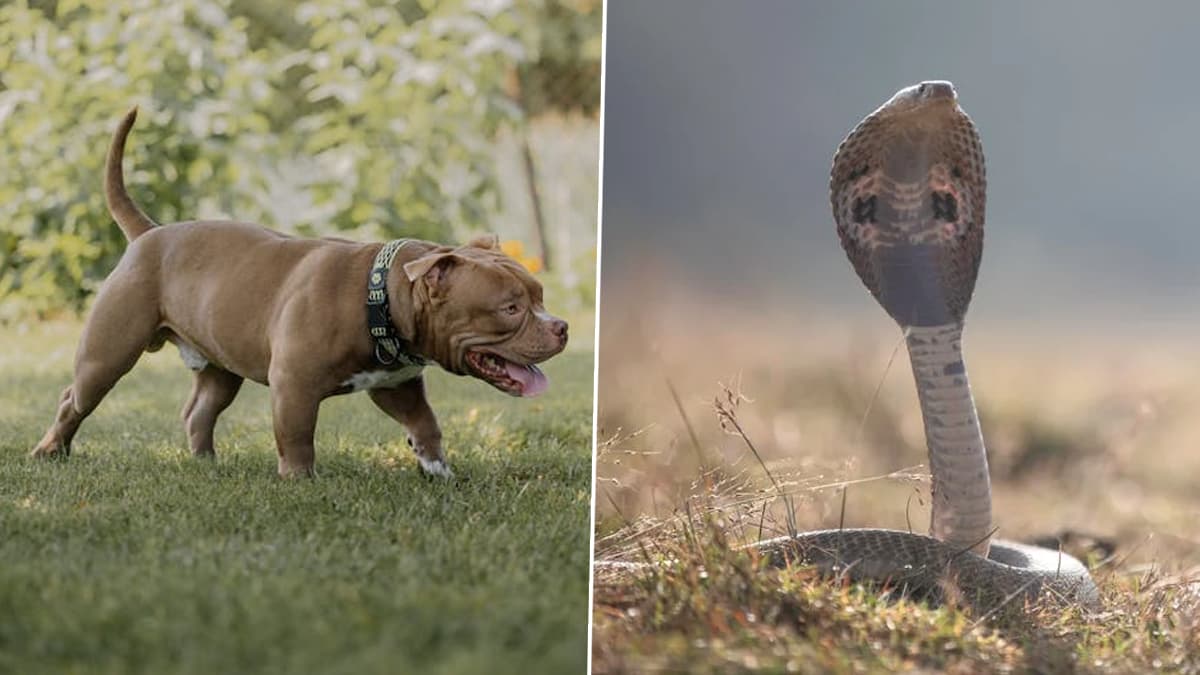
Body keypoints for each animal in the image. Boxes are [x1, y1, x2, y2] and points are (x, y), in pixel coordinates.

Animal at [30, 110, 568, 475]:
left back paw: (206, 463)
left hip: (220, 366)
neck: (380, 295)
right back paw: (50, 451)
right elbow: (297, 435)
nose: (562, 327)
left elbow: (426, 424)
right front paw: (299, 481)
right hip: (108, 353)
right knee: (74, 398)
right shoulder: (294, 384)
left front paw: (438, 470)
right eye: (510, 308)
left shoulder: (397, 386)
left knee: (199, 411)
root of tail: (150, 233)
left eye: (540, 297)